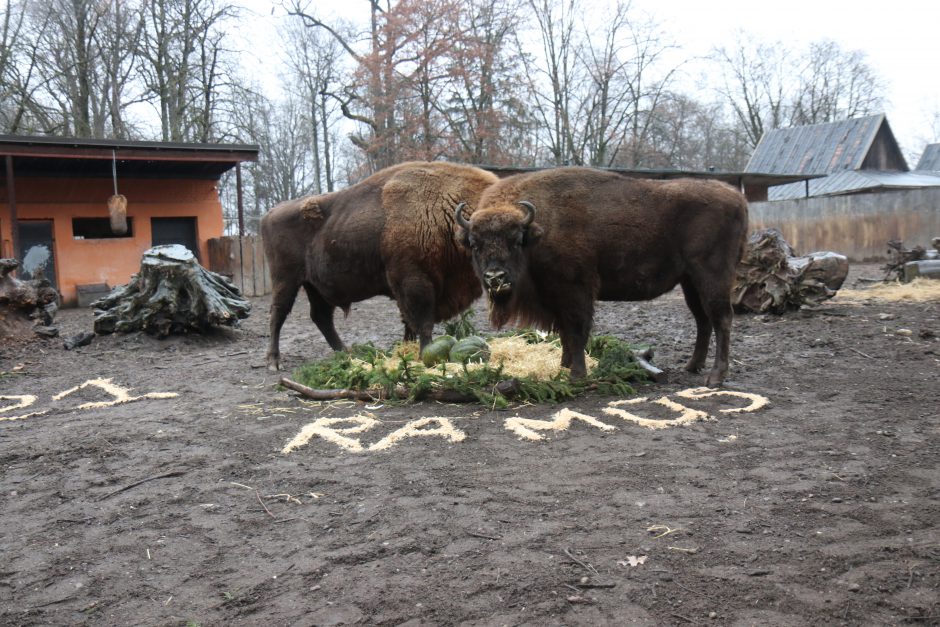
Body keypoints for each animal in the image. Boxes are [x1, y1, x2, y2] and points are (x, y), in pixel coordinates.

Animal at [262, 159, 500, 370]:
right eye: (476, 243)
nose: (497, 277)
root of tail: (269, 214)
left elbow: (410, 324)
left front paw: (408, 350)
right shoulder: (414, 282)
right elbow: (422, 322)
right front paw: (423, 354)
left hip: (316, 287)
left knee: (321, 317)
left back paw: (345, 353)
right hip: (286, 280)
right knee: (278, 314)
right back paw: (274, 362)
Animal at [456, 167, 748, 386]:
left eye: (516, 241)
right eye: (475, 243)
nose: (495, 277)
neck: (539, 230)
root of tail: (737, 198)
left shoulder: (576, 290)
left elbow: (577, 330)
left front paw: (577, 375)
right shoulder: (556, 297)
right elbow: (564, 332)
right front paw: (564, 367)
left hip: (712, 276)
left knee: (721, 318)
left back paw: (715, 378)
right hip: (690, 282)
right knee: (703, 320)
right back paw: (691, 366)